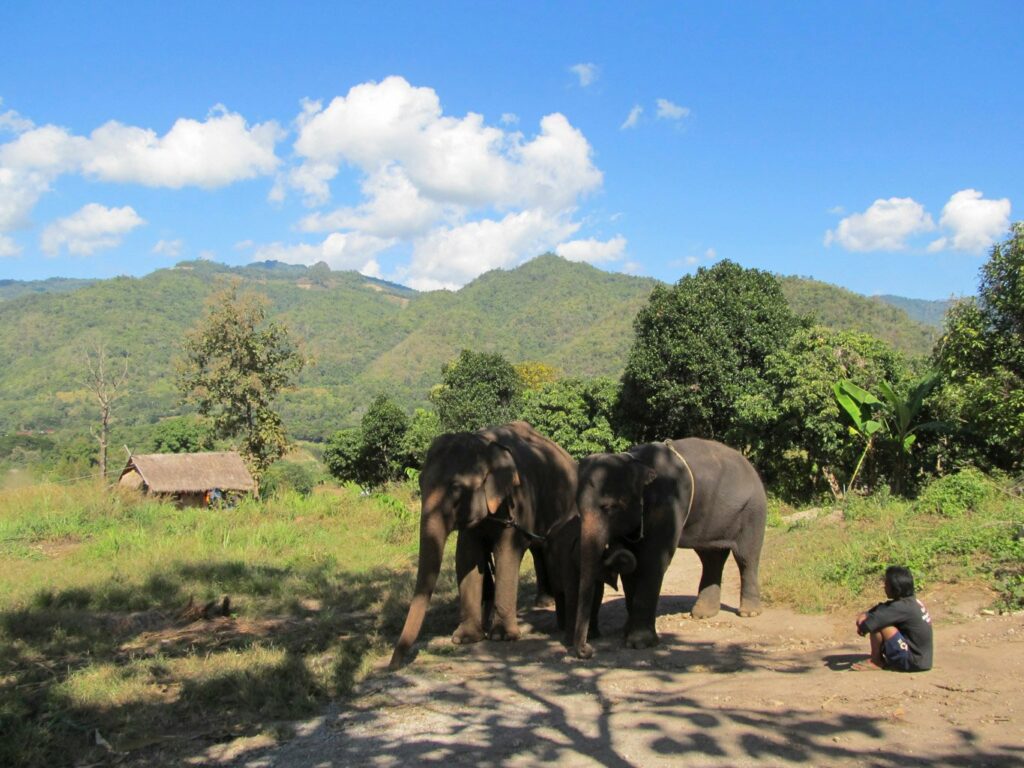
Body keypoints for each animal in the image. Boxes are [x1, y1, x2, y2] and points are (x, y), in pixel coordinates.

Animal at [389, 421, 577, 669]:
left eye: (456, 488)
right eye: (420, 482)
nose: (393, 665)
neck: (485, 443)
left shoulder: (518, 499)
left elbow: (507, 552)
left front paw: (502, 636)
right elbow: (467, 557)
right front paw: (465, 638)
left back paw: (545, 604)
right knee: (538, 549)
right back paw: (543, 602)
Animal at [542, 513, 636, 647]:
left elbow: (597, 594)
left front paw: (593, 636)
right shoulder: (568, 560)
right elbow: (572, 594)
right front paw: (569, 643)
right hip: (550, 564)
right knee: (559, 593)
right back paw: (562, 628)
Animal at [572, 438, 767, 659]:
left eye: (609, 507)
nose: (588, 650)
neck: (636, 461)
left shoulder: (669, 504)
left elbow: (653, 561)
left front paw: (640, 643)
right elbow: (632, 567)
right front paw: (627, 633)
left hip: (753, 511)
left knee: (745, 558)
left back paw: (748, 613)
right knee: (711, 558)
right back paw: (702, 615)